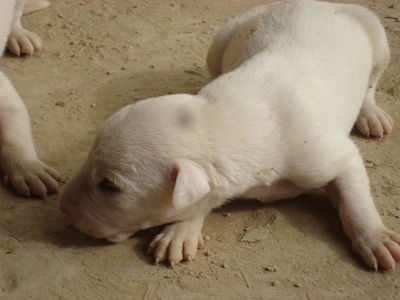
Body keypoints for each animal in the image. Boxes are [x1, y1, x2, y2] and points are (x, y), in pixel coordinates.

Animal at [60, 0, 400, 270]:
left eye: (109, 186)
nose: (61, 205)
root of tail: (318, 2)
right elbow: (201, 199)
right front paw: (180, 233)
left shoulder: (328, 155)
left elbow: (353, 195)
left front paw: (377, 239)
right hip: (223, 38)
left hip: (376, 35)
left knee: (371, 85)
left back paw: (372, 115)